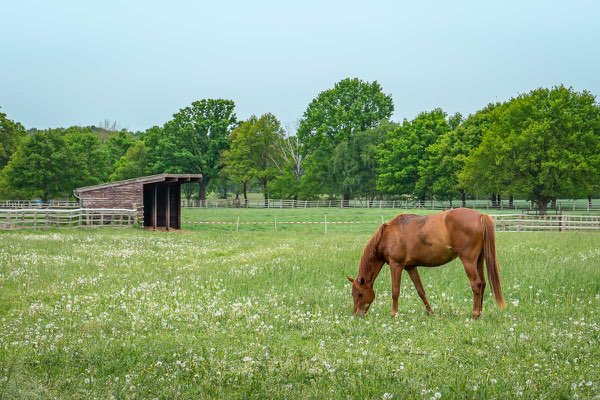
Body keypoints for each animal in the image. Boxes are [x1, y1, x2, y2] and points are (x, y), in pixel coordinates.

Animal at [346, 209, 506, 318]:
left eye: (359, 294)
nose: (357, 314)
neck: (388, 234)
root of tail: (481, 216)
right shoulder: (411, 267)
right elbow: (420, 291)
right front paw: (430, 312)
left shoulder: (396, 265)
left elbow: (395, 291)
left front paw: (394, 314)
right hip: (479, 260)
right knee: (483, 283)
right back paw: (480, 313)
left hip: (468, 261)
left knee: (476, 284)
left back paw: (475, 314)